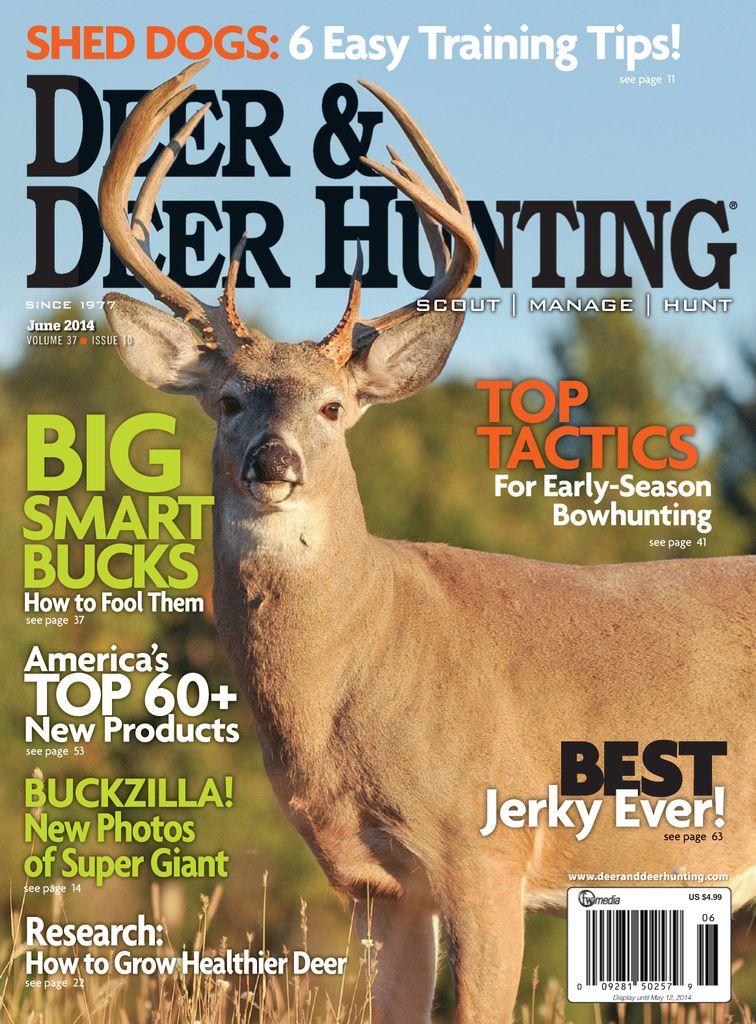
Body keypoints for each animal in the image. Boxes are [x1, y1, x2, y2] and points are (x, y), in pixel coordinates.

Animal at [99, 61, 755, 1023]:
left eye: (334, 407)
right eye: (229, 401)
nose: (274, 461)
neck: (364, 659)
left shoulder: (488, 848)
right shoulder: (376, 883)